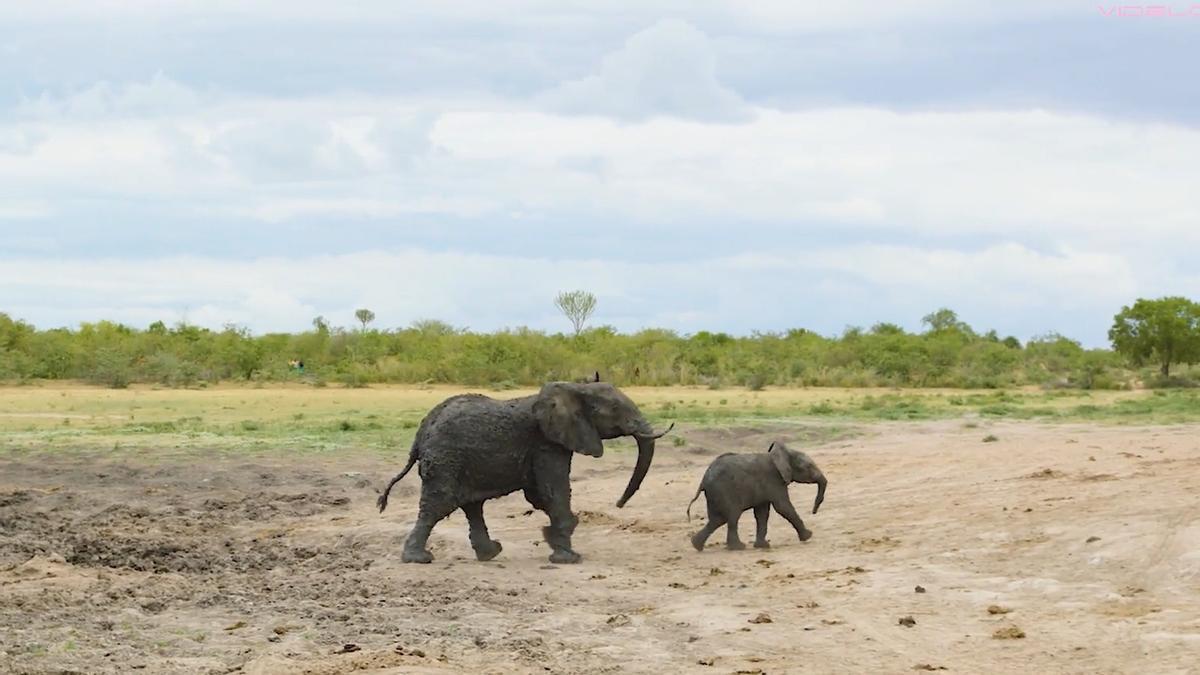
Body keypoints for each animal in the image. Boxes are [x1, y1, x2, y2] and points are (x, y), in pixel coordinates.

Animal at [376, 379, 672, 562]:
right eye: (615, 409)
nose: (619, 504)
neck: (575, 388)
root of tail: (420, 434)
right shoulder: (546, 443)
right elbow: (554, 490)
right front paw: (568, 558)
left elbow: (539, 496)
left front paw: (551, 538)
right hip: (446, 459)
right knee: (439, 505)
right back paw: (419, 559)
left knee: (472, 506)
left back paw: (491, 553)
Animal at [691, 439, 830, 550]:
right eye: (808, 466)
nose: (814, 512)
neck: (779, 455)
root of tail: (703, 481)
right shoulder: (773, 480)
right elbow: (783, 507)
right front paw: (808, 535)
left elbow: (762, 513)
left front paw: (762, 546)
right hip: (723, 491)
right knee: (732, 516)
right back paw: (738, 547)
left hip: (715, 494)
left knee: (718, 519)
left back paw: (696, 545)